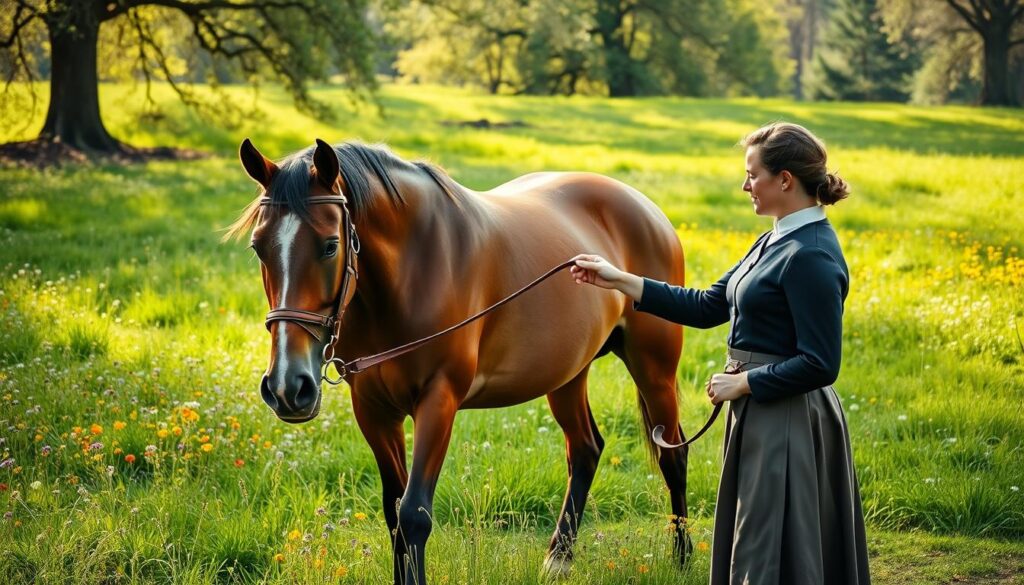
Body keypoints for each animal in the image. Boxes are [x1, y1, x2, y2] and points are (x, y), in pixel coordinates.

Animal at [230, 139, 696, 581]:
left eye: (330, 246)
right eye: (258, 248)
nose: (288, 387)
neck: (414, 269)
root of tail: (646, 208)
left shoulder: (439, 400)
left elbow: (413, 515)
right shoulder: (373, 408)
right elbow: (393, 513)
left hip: (654, 366)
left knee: (672, 456)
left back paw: (682, 557)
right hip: (567, 373)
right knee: (585, 448)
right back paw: (558, 559)